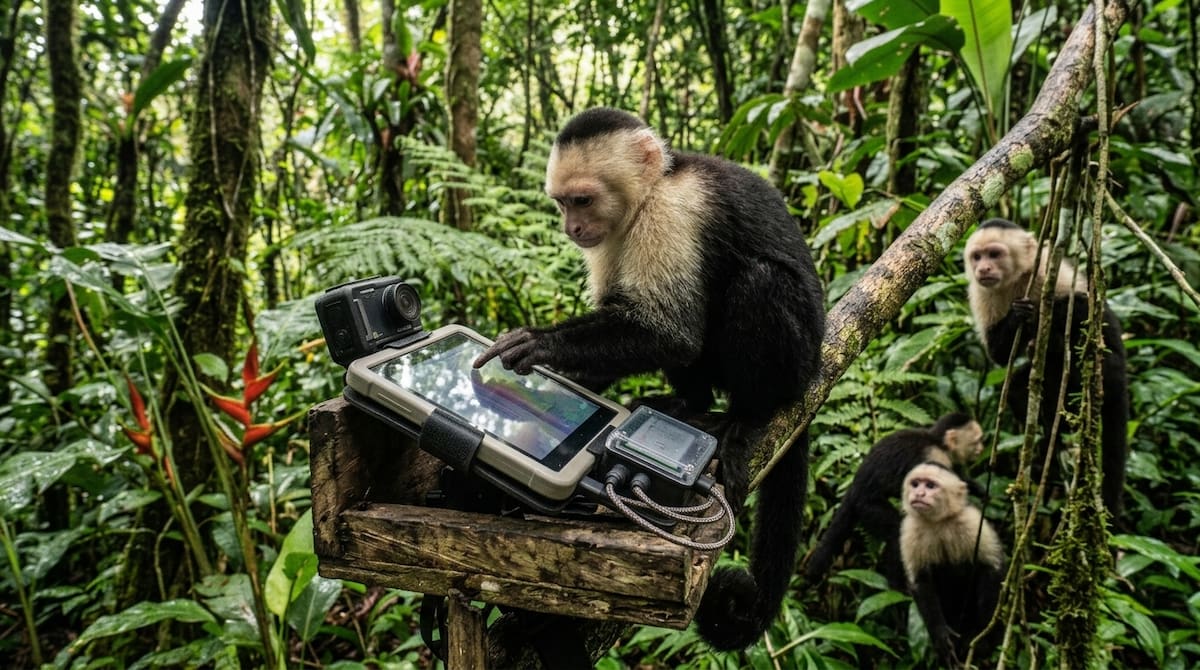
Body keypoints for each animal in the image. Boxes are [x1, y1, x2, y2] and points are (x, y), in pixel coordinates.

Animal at [472, 107, 826, 650]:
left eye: (582, 200)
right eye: (561, 203)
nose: (572, 228)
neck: (652, 190)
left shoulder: (673, 213)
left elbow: (670, 332)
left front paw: (538, 344)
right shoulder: (611, 235)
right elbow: (635, 320)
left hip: (798, 358)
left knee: (758, 283)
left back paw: (747, 417)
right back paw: (687, 404)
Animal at [804, 412, 985, 588]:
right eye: (976, 441)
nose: (981, 449)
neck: (938, 442)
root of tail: (855, 486)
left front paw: (978, 489)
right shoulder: (934, 456)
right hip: (867, 505)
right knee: (895, 530)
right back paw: (897, 586)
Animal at [900, 462, 1005, 669]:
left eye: (930, 486)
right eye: (915, 484)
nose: (919, 494)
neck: (939, 522)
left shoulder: (972, 521)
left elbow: (991, 567)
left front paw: (984, 638)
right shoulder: (910, 529)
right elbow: (921, 581)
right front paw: (940, 636)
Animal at [964, 218, 1129, 514]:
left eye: (994, 254)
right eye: (977, 256)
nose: (983, 268)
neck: (1016, 281)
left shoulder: (1047, 271)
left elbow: (1081, 304)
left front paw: (1046, 324)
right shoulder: (982, 292)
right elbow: (998, 353)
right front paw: (1017, 317)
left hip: (1109, 374)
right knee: (1019, 388)